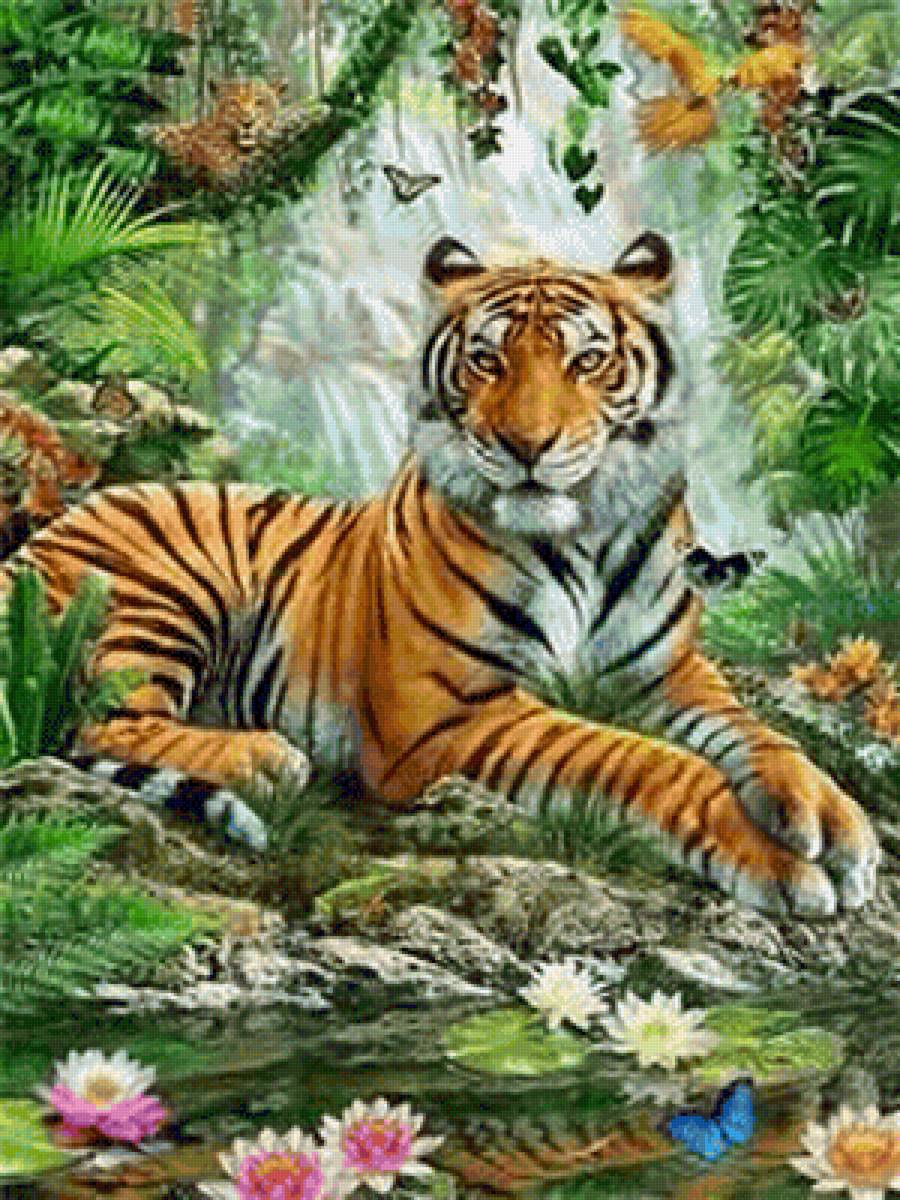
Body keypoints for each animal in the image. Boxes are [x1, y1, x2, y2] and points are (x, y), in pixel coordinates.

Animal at [0, 233, 879, 916]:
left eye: (588, 361)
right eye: (486, 360)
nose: (527, 445)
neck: (586, 538)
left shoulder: (668, 674)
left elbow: (758, 736)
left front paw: (831, 819)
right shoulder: (447, 713)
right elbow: (639, 759)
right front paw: (776, 862)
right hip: (160, 592)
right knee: (100, 723)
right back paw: (265, 758)